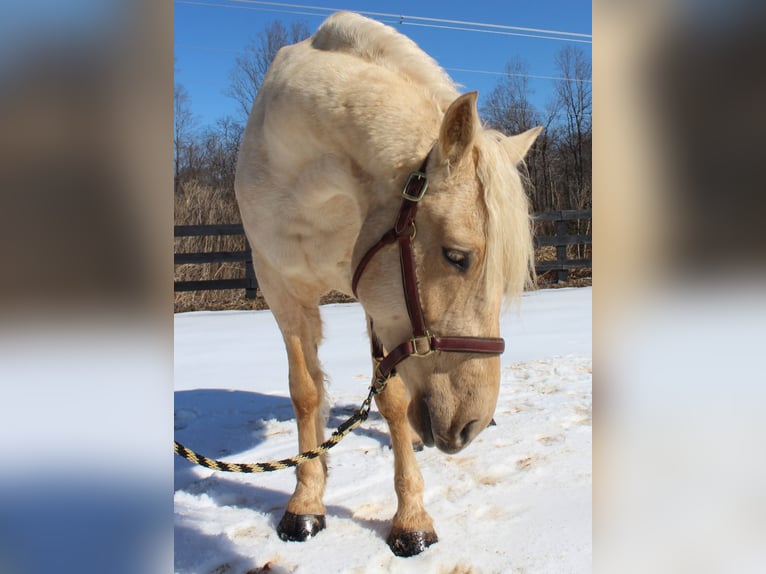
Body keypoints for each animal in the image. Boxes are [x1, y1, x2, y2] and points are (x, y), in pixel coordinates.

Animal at [234, 11, 541, 557]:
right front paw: (306, 502)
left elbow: (392, 400)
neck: (310, 184)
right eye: (456, 256)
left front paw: (410, 519)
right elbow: (305, 392)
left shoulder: (378, 303)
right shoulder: (279, 288)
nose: (470, 426)